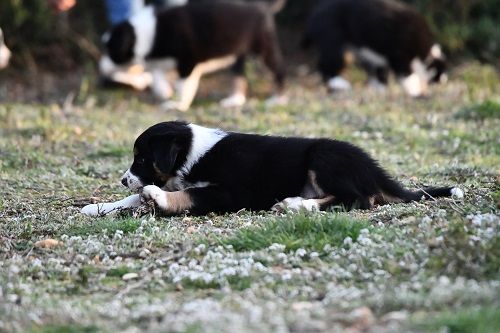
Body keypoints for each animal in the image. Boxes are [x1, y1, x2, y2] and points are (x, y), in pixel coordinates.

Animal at [80, 120, 462, 217]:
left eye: (142, 159)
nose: (123, 178)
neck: (191, 155)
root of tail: (373, 166)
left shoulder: (231, 192)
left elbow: (187, 195)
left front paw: (157, 198)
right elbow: (132, 200)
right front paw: (97, 207)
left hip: (323, 157)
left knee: (358, 199)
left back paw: (297, 204)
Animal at [302, 0, 448, 97]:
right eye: (439, 70)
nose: (444, 81)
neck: (423, 51)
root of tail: (313, 15)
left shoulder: (378, 57)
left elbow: (379, 73)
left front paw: (380, 89)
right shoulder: (399, 54)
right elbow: (406, 75)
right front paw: (415, 90)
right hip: (332, 37)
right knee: (329, 61)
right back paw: (338, 84)